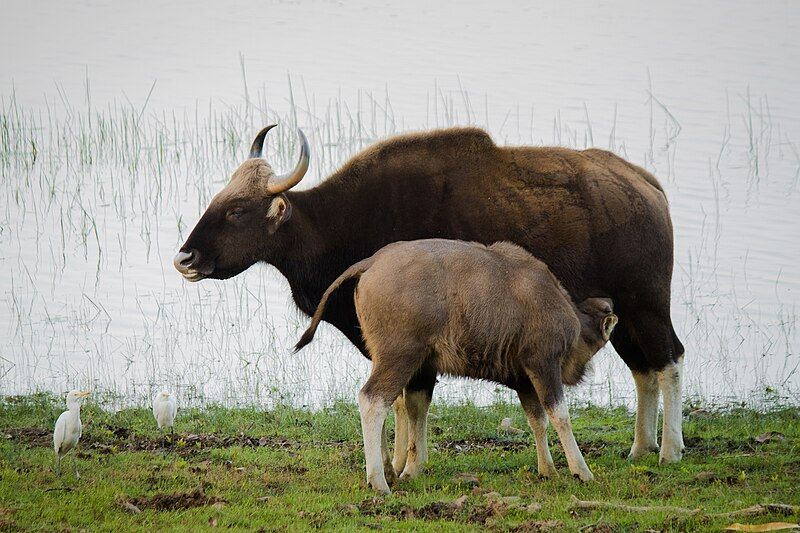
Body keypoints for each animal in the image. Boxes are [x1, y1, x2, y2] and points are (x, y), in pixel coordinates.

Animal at [296, 239, 616, 492]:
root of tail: (372, 262)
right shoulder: (544, 364)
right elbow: (559, 414)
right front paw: (581, 471)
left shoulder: (523, 380)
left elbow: (537, 420)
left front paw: (547, 470)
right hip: (400, 357)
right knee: (372, 399)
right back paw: (378, 481)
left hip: (406, 363)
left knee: (400, 405)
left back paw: (392, 469)